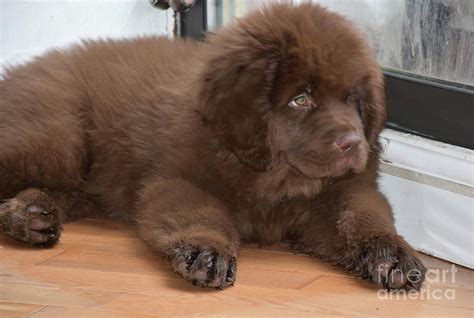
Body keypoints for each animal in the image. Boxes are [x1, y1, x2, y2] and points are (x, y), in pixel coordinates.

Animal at [0, 3, 426, 290]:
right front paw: (207, 251)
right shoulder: (178, 180)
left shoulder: (340, 191)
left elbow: (363, 215)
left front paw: (392, 255)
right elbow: (203, 213)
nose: (353, 143)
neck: (273, 177)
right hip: (59, 141)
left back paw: (31, 215)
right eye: (301, 99)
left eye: (353, 99)